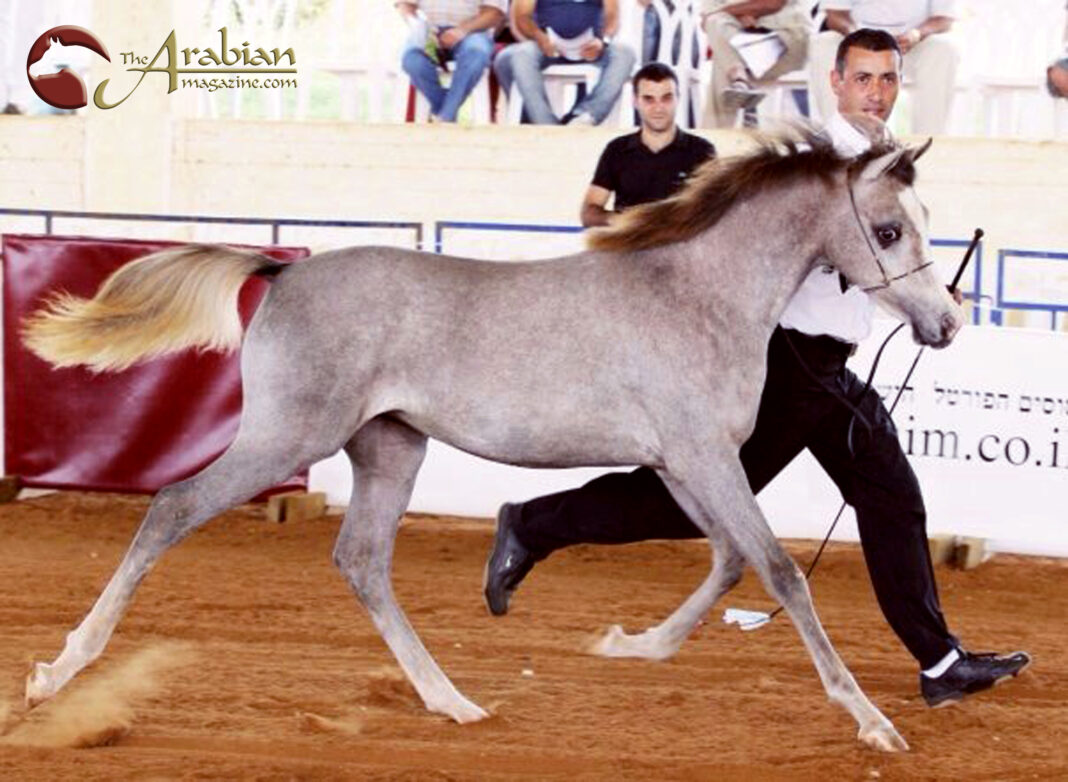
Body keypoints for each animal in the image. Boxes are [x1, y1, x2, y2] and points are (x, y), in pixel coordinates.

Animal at [21, 126, 962, 752]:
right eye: (888, 230)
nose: (947, 323)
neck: (693, 293)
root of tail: (283, 273)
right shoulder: (701, 456)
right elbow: (777, 571)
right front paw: (874, 723)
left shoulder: (684, 464)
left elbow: (731, 559)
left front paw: (630, 645)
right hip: (287, 436)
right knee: (172, 507)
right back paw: (56, 675)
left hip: (390, 448)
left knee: (361, 561)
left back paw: (454, 702)